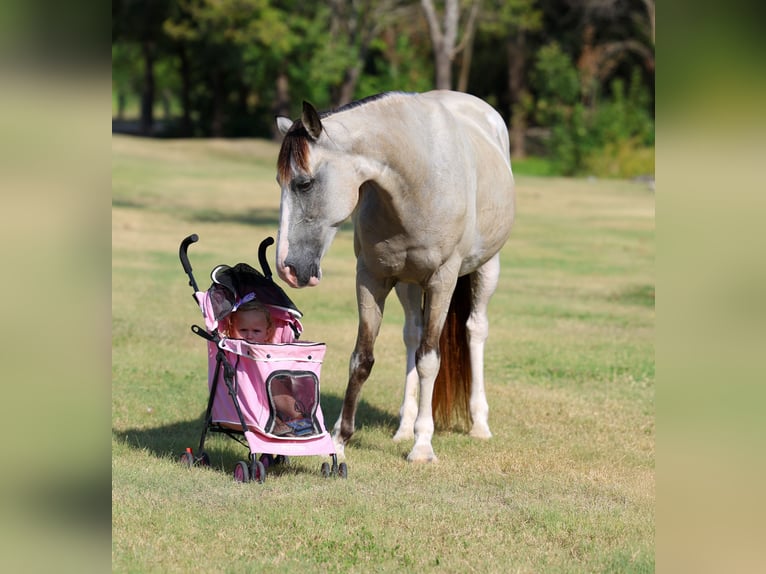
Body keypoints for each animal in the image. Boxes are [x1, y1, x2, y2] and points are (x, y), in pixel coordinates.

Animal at [274, 90, 515, 463]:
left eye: (304, 183)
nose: (286, 267)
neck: (415, 180)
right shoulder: (371, 278)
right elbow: (362, 358)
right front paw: (339, 442)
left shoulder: (443, 281)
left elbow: (429, 360)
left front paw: (423, 445)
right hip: (408, 284)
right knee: (412, 336)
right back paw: (404, 427)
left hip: (486, 269)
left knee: (475, 331)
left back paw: (478, 424)